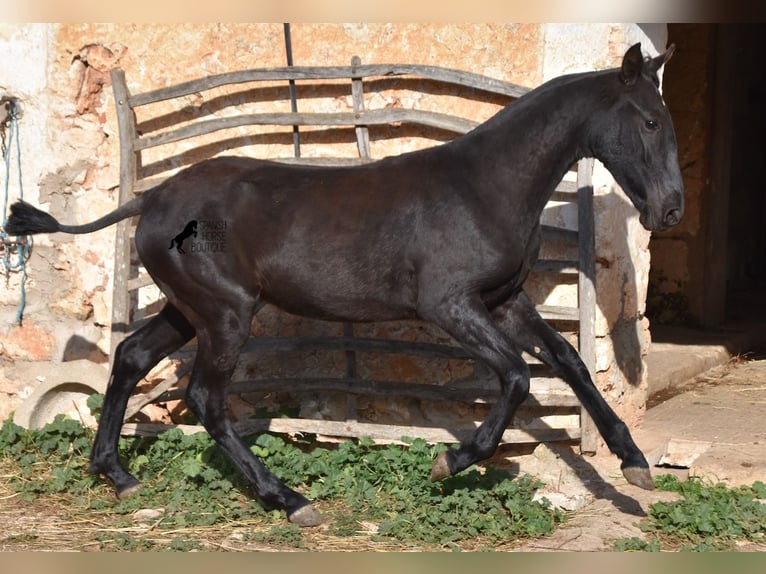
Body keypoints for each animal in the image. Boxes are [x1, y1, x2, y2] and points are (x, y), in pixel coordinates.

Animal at [3, 44, 684, 532]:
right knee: (204, 399)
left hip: (188, 309)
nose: (670, 210)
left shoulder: (504, 302)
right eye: (651, 121)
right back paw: (289, 499)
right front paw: (450, 462)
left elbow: (568, 360)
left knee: (130, 356)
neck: (485, 186)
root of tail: (150, 200)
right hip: (225, 315)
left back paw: (117, 474)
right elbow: (517, 375)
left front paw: (635, 465)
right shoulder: (449, 306)